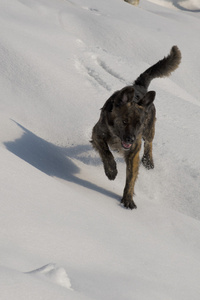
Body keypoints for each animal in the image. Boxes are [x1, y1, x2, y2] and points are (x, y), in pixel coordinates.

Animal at [91, 46, 182, 209]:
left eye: (139, 123)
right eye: (125, 121)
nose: (130, 139)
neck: (117, 136)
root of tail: (140, 87)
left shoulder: (133, 152)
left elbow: (131, 179)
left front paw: (127, 198)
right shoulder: (97, 133)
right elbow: (106, 152)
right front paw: (111, 170)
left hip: (149, 129)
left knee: (149, 143)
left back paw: (148, 161)